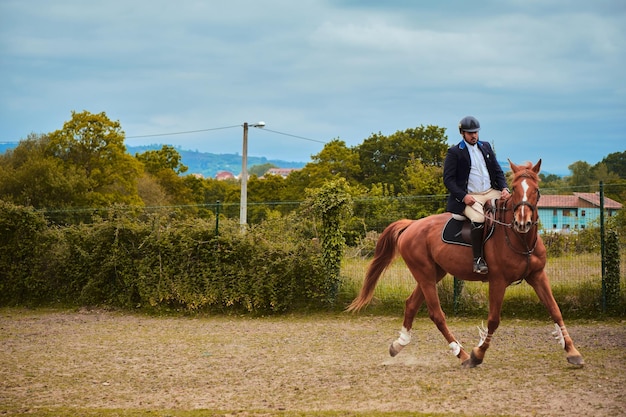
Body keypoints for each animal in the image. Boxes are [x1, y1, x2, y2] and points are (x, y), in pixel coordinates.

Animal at [344, 159, 584, 368]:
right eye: (515, 188)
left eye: (535, 189)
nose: (522, 222)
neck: (520, 239)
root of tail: (411, 225)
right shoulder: (498, 281)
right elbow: (493, 320)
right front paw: (478, 355)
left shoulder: (537, 275)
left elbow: (555, 310)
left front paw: (573, 352)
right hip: (425, 274)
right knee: (436, 314)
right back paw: (462, 354)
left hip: (434, 273)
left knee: (411, 304)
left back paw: (398, 345)